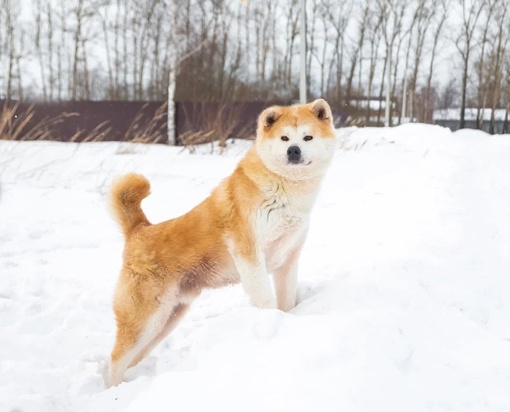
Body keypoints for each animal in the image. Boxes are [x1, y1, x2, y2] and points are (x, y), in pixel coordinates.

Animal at [106, 99, 338, 386]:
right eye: (284, 138)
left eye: (308, 137)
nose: (293, 150)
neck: (284, 191)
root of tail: (139, 231)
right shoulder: (249, 254)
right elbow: (265, 299)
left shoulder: (288, 259)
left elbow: (287, 301)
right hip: (144, 319)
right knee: (115, 361)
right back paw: (113, 390)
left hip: (166, 319)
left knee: (132, 358)